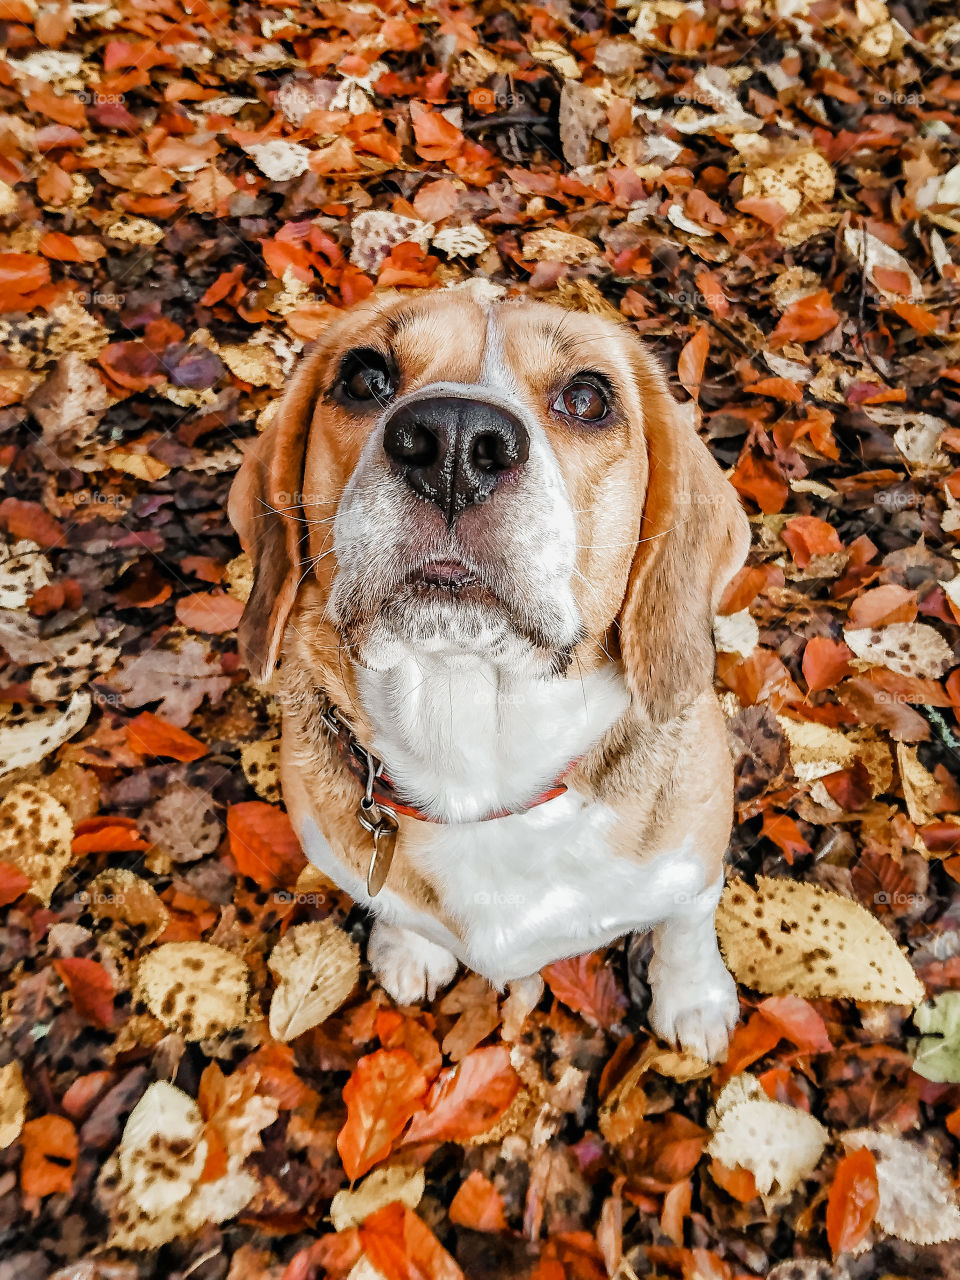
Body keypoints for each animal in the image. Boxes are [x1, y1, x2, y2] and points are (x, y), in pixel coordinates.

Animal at [231, 288, 752, 1059]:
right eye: (363, 377)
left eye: (588, 398)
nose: (452, 440)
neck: (475, 767)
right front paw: (411, 949)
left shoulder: (694, 868)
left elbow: (684, 929)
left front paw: (694, 1001)